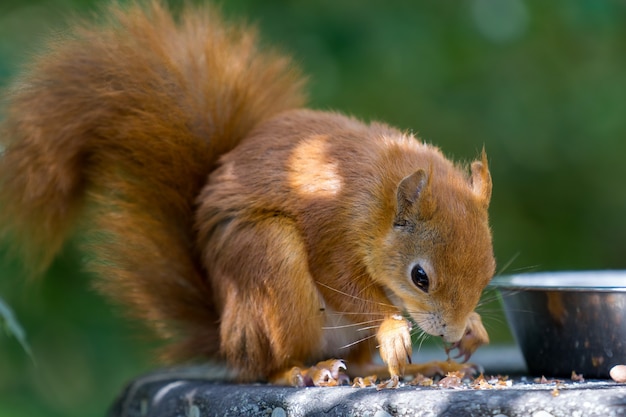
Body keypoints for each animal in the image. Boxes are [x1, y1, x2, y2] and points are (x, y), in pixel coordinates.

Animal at [0, 0, 492, 386]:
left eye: (488, 272)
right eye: (420, 277)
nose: (450, 333)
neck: (373, 195)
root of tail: (228, 338)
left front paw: (474, 328)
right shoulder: (329, 226)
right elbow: (344, 283)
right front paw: (393, 328)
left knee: (357, 365)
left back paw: (413, 369)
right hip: (266, 267)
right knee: (269, 368)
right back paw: (304, 371)